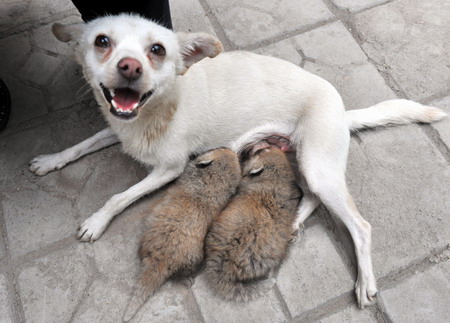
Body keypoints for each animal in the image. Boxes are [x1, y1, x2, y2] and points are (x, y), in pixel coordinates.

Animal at [29, 14, 446, 308]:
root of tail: (343, 113)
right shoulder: (118, 129)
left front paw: (96, 221)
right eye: (102, 42)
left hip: (318, 167)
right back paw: (294, 222)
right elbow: (82, 144)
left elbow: (120, 196)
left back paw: (365, 283)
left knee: (360, 225)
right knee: (311, 198)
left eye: (158, 50)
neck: (155, 108)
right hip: (303, 162)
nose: (130, 67)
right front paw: (51, 160)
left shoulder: (168, 168)